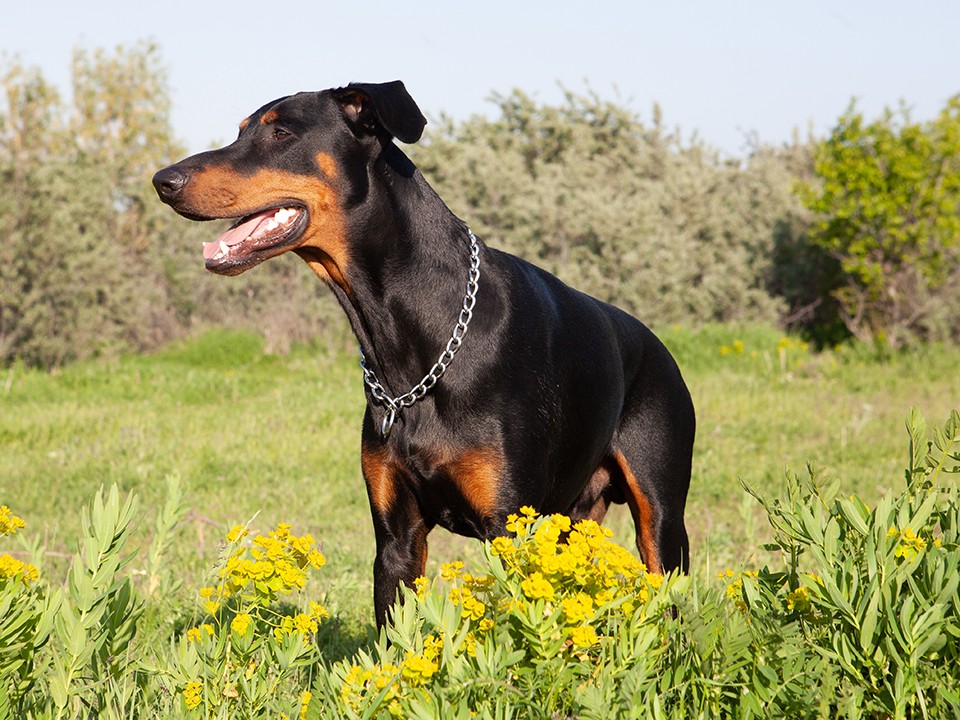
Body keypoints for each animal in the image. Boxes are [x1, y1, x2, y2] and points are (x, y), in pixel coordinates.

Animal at [154, 80, 692, 632]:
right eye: (240, 130)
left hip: (661, 514)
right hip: (572, 519)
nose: (163, 181)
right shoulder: (396, 535)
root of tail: (657, 345)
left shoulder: (508, 523)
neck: (410, 344)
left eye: (281, 132)